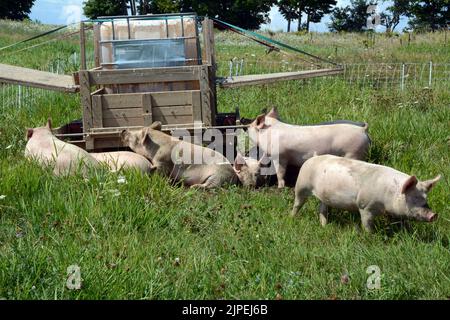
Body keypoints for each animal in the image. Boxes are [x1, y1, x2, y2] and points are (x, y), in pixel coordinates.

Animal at [290, 155, 442, 232]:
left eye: (425, 198)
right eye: (414, 198)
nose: (434, 215)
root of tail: (311, 158)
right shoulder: (365, 206)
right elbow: (367, 224)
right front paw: (371, 236)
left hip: (324, 196)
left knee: (322, 208)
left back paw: (324, 225)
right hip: (301, 185)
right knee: (297, 203)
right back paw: (291, 218)